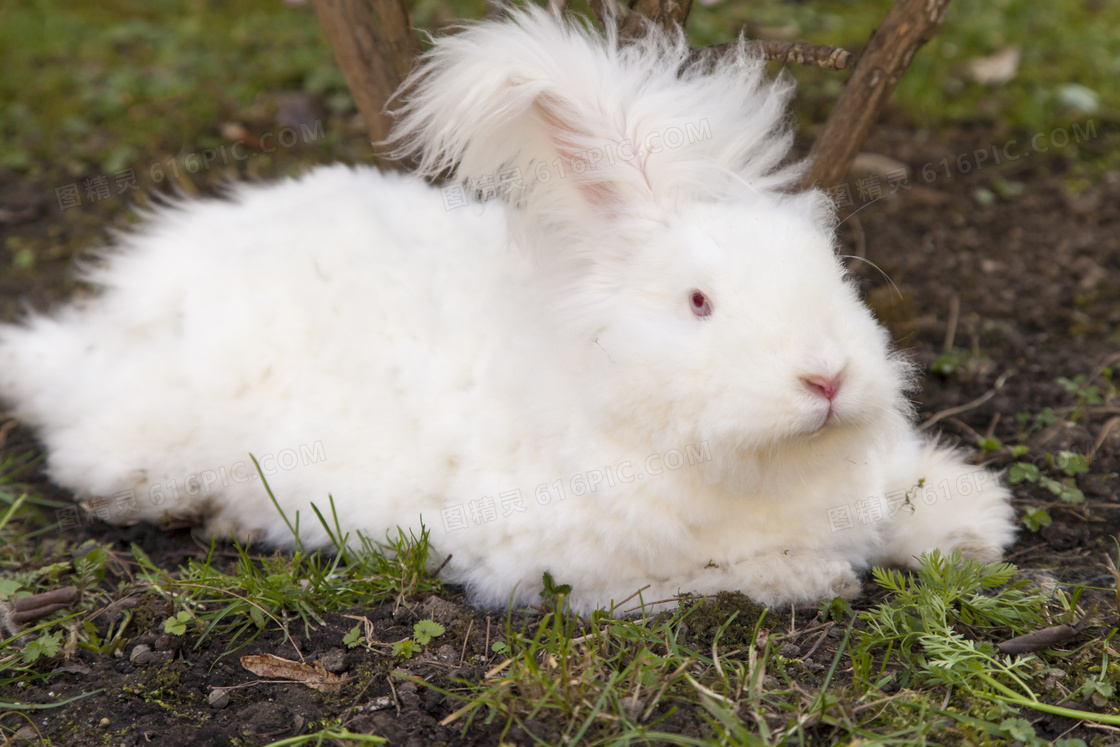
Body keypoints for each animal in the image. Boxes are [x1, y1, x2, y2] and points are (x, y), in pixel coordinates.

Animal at [0, 7, 1016, 613]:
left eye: (832, 274)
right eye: (699, 303)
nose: (828, 377)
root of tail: (85, 340)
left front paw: (971, 533)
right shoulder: (580, 563)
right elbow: (718, 574)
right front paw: (811, 574)